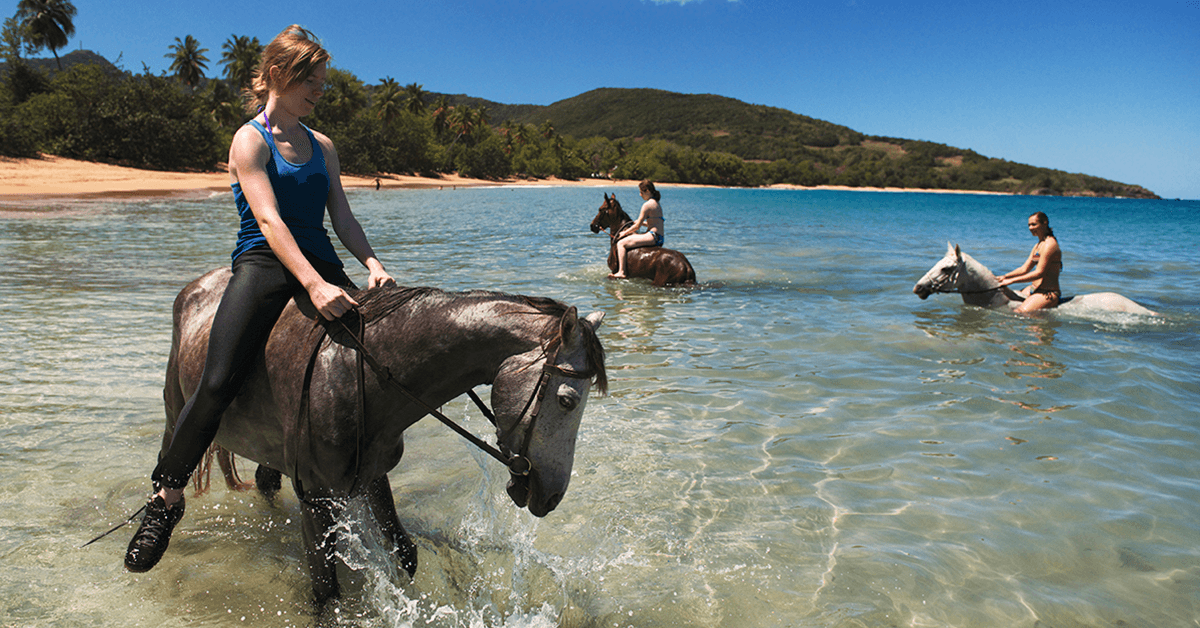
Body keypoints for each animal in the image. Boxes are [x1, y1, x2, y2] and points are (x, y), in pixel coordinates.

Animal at [160, 268, 609, 605]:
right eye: (567, 400)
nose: (552, 496)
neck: (357, 372)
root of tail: (197, 286)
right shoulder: (315, 495)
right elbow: (326, 593)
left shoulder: (372, 474)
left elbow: (405, 553)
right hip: (178, 413)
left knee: (264, 482)